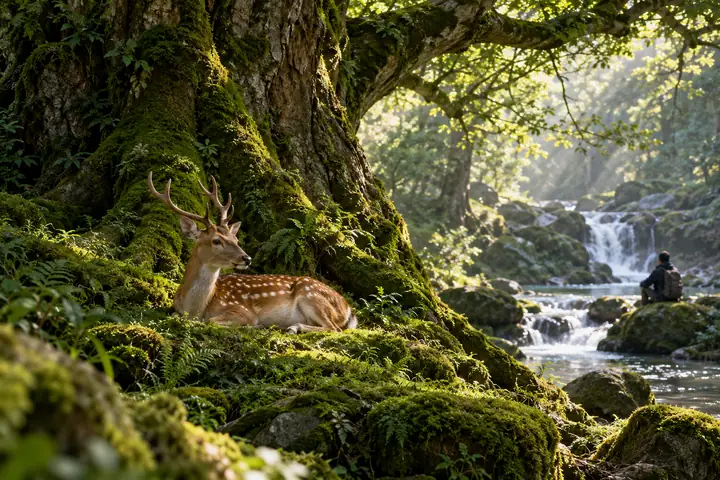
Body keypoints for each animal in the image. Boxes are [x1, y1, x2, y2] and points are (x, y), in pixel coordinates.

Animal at [147, 171, 357, 333]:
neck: (194, 308)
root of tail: (348, 309)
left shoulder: (241, 310)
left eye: (235, 240)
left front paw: (254, 326)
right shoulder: (176, 310)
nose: (246, 258)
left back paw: (291, 327)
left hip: (312, 296)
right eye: (216, 241)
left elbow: (212, 321)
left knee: (334, 328)